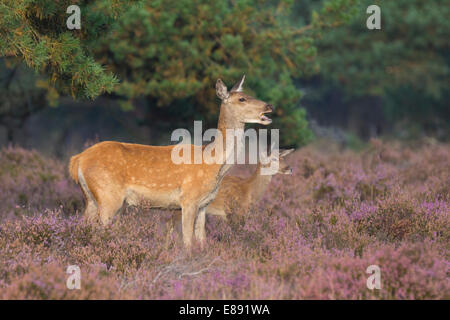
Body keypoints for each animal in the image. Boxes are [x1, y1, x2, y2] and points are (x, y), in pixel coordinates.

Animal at [68, 75, 272, 250]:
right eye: (242, 99)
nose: (269, 106)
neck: (213, 163)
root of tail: (77, 159)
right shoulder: (188, 198)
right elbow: (187, 240)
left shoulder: (204, 204)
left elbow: (202, 239)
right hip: (108, 195)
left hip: (91, 198)